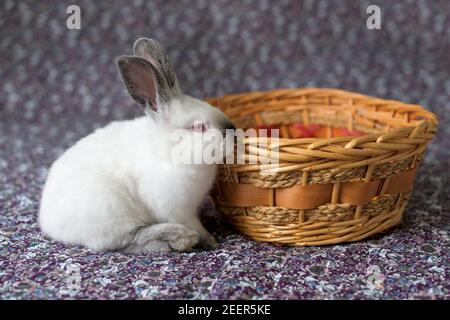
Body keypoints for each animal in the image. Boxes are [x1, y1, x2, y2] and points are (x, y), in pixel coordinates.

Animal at [38, 37, 236, 252]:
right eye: (199, 127)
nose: (233, 130)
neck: (167, 153)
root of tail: (47, 221)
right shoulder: (178, 210)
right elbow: (197, 226)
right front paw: (211, 241)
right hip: (112, 209)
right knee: (129, 240)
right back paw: (179, 238)